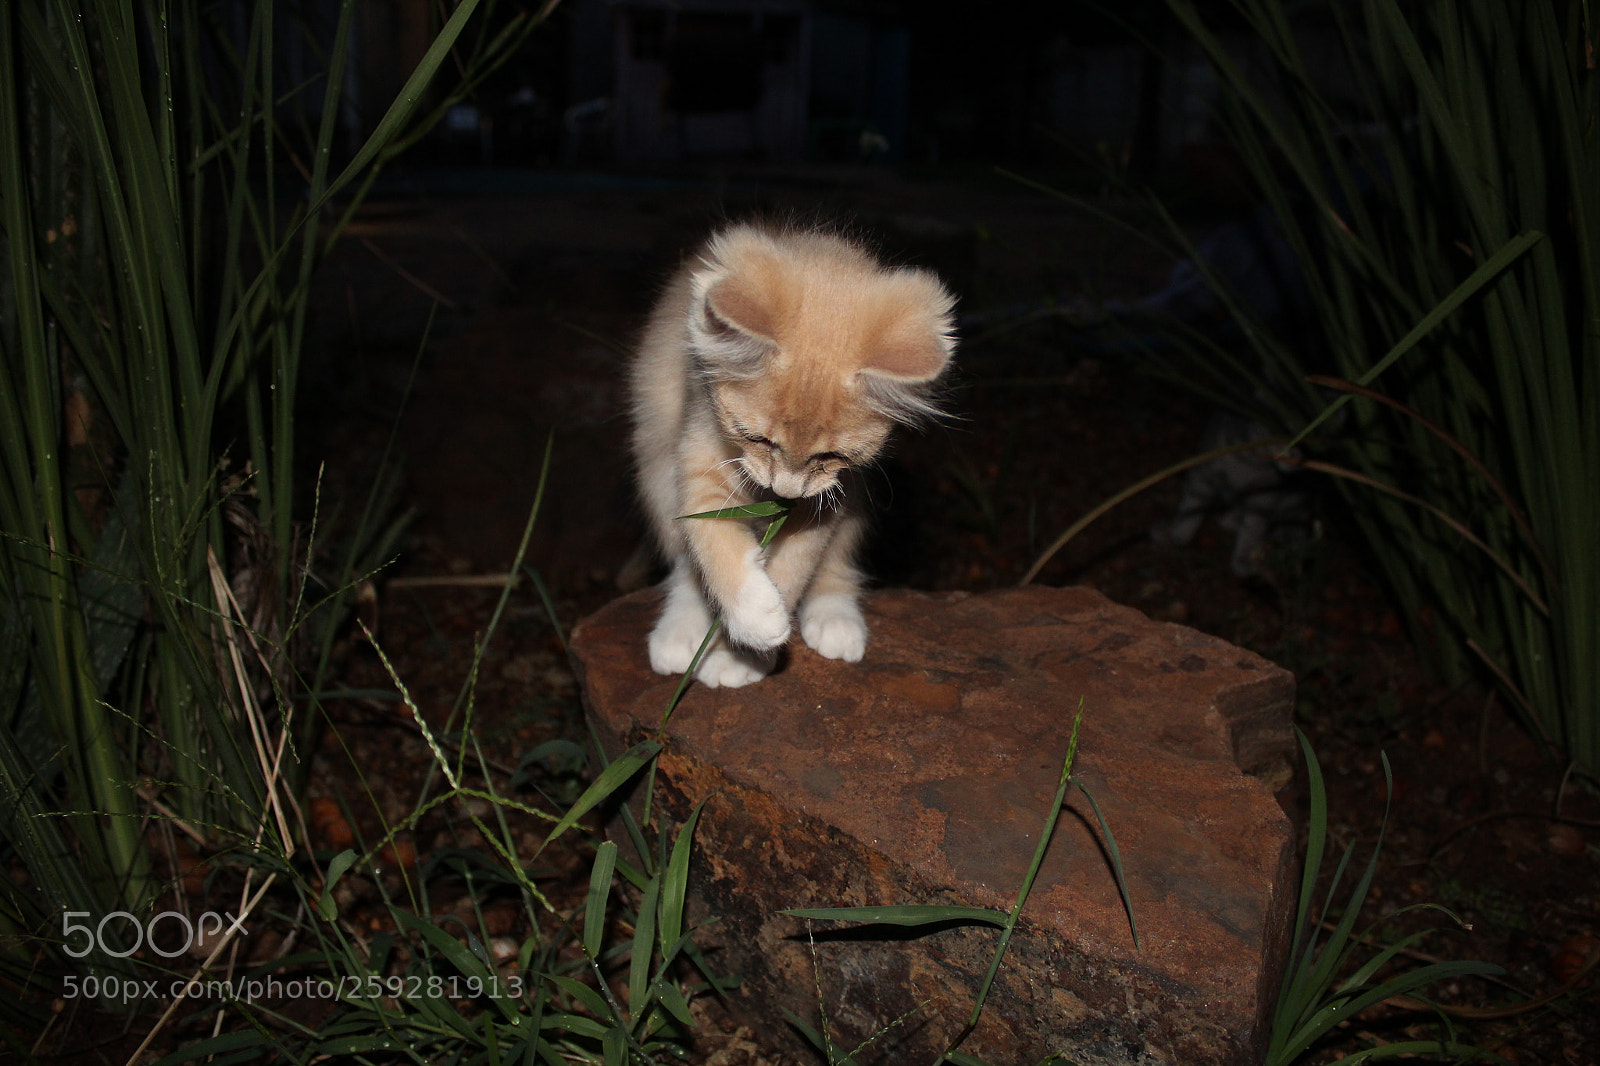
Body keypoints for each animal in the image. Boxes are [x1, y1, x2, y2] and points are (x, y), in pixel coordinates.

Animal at [624, 225, 947, 688]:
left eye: (830, 454)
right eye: (757, 439)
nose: (785, 490)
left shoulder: (829, 495)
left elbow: (796, 565)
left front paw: (746, 655)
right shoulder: (699, 452)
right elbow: (710, 539)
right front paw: (754, 620)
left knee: (838, 560)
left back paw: (835, 615)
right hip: (654, 459)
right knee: (684, 561)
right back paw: (681, 629)